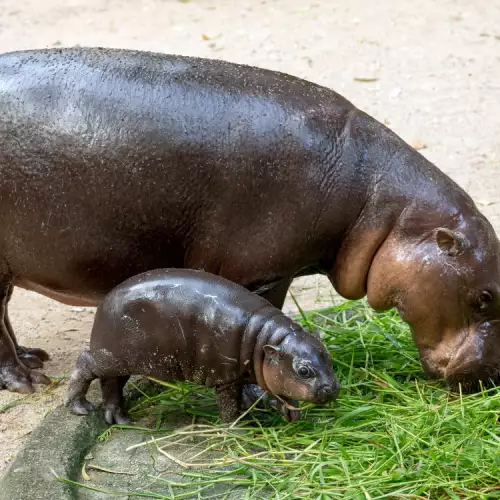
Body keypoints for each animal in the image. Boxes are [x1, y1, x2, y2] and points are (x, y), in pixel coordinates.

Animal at [0, 46, 500, 394]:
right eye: (484, 298)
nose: (491, 376)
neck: (385, 208)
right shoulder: (264, 272)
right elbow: (265, 318)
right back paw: (26, 381)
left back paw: (33, 358)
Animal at [65, 270, 340, 426]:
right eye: (303, 370)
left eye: (329, 358)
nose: (332, 388)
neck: (267, 340)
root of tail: (104, 301)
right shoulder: (227, 377)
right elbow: (228, 404)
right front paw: (237, 426)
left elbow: (279, 393)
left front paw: (292, 416)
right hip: (112, 356)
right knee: (85, 363)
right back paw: (80, 407)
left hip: (125, 358)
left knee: (111, 382)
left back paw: (119, 418)